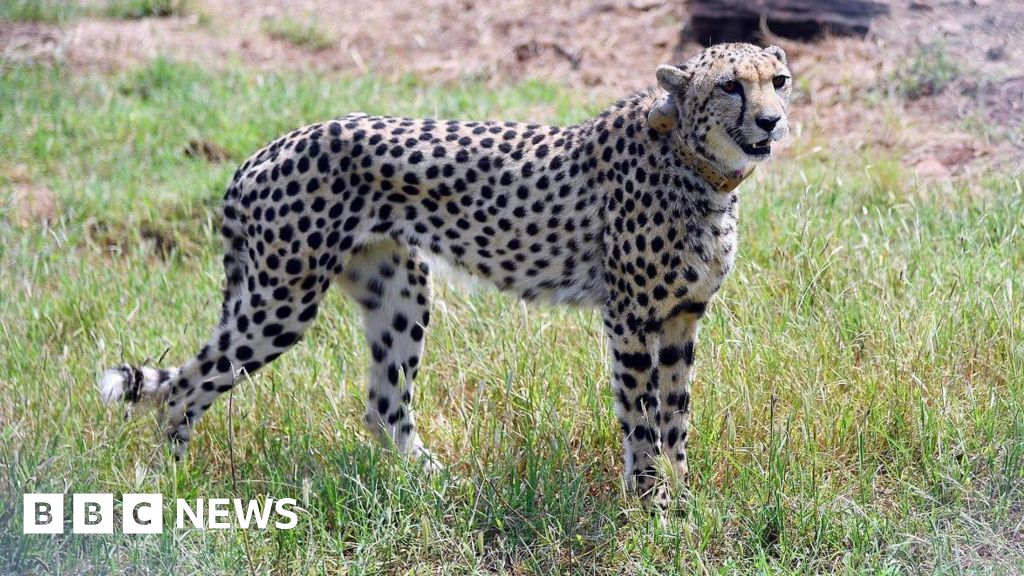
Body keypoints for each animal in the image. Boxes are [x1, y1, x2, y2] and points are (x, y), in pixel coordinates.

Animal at [98, 42, 792, 508]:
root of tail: (265, 150)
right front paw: (652, 504)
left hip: (399, 290)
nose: (771, 120)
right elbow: (642, 418)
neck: (698, 165)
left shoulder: (680, 319)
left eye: (779, 81)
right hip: (281, 301)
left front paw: (684, 498)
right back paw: (171, 488)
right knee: (185, 387)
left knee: (383, 406)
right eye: (731, 86)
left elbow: (676, 416)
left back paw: (437, 485)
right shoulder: (630, 319)